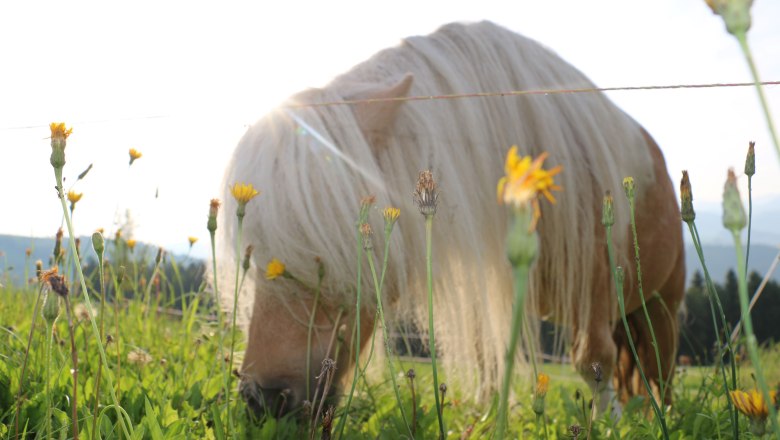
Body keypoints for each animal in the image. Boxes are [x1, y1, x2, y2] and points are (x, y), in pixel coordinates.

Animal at [218, 20, 684, 414]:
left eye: (324, 256)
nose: (261, 398)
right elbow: (489, 363)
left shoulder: (596, 277)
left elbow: (594, 360)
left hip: (661, 306)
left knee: (660, 374)